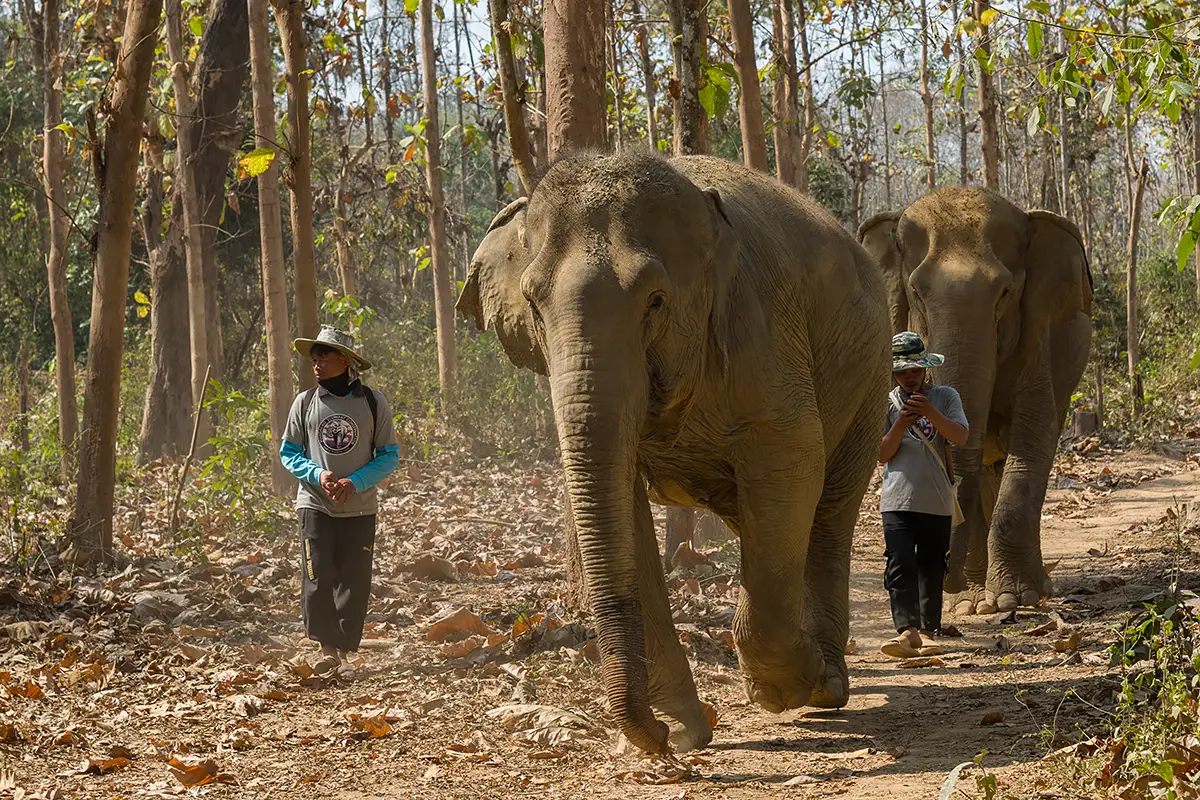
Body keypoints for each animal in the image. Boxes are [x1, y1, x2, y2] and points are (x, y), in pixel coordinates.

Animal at [457, 150, 889, 755]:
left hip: (871, 373)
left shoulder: (760, 336)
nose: (657, 740)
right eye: (534, 306)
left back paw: (828, 685)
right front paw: (686, 730)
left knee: (829, 510)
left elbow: (794, 462)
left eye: (655, 301)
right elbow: (623, 508)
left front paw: (782, 692)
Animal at [857, 186, 1092, 615]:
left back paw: (1030, 588)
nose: (948, 580)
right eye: (917, 293)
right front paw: (969, 603)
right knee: (985, 468)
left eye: (1004, 294)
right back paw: (976, 597)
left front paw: (1017, 597)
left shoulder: (1038, 339)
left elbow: (1034, 437)